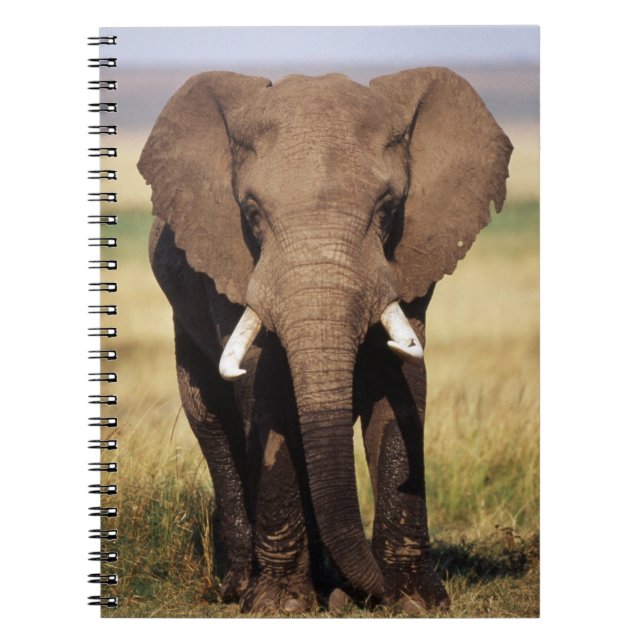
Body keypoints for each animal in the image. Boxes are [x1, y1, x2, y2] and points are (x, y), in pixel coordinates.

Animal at [138, 67, 512, 614]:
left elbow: (402, 385)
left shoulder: (409, 259)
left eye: (387, 208)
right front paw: (281, 606)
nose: (362, 592)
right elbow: (264, 390)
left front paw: (413, 601)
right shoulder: (231, 264)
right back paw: (242, 588)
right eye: (251, 212)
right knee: (211, 421)